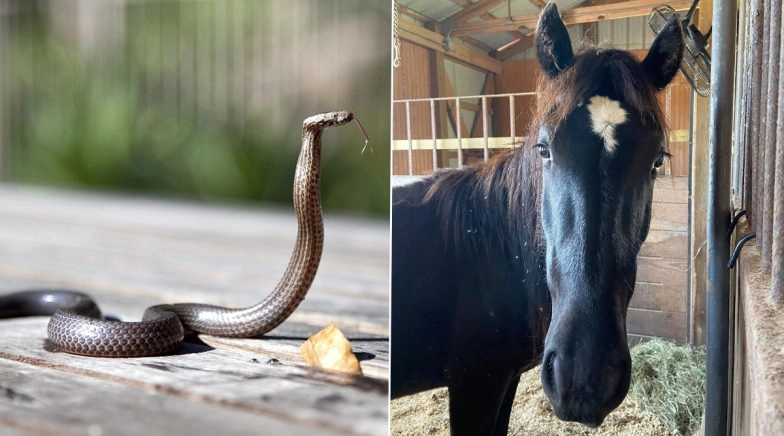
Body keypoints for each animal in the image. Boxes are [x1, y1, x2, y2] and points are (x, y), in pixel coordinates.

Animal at [390, 4, 684, 434]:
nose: (585, 379)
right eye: (545, 150)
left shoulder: (505, 379)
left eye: (657, 161)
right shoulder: (475, 384)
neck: (487, 251)